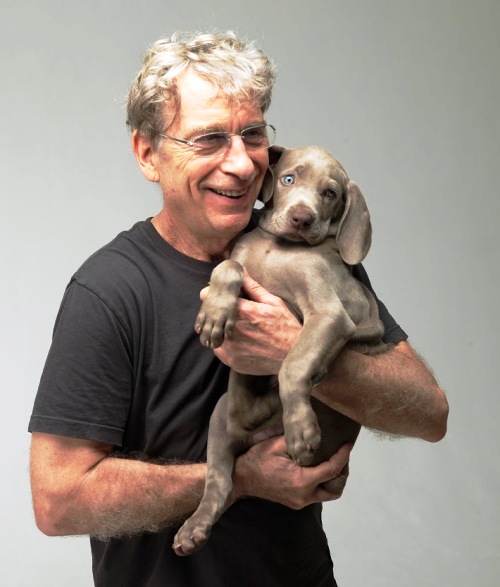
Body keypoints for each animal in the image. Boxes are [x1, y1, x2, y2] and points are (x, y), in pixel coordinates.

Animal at [174, 144, 388, 556]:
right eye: (289, 178)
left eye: (330, 193)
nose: (302, 218)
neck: (278, 248)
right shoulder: (239, 261)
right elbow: (228, 265)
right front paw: (215, 312)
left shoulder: (331, 313)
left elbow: (293, 365)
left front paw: (301, 428)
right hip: (219, 419)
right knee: (221, 479)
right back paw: (194, 527)